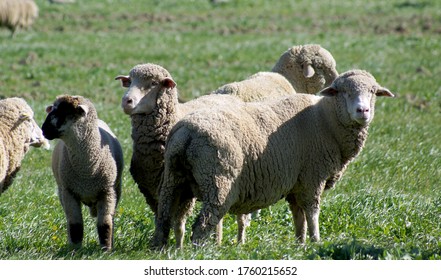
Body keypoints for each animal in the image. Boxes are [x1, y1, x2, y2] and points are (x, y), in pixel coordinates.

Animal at [41, 94, 124, 252]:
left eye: (65, 112)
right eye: (52, 109)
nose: (43, 130)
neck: (86, 170)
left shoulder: (107, 192)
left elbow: (105, 223)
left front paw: (106, 249)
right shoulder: (69, 192)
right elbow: (75, 224)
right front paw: (75, 249)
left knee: (111, 218)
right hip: (62, 192)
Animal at [153, 69, 394, 247]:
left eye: (373, 92)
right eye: (342, 91)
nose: (362, 111)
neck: (326, 120)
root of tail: (186, 131)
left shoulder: (297, 183)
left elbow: (299, 217)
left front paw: (300, 244)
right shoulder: (312, 177)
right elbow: (312, 213)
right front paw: (316, 241)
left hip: (175, 180)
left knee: (164, 218)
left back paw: (162, 248)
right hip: (218, 182)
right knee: (201, 226)